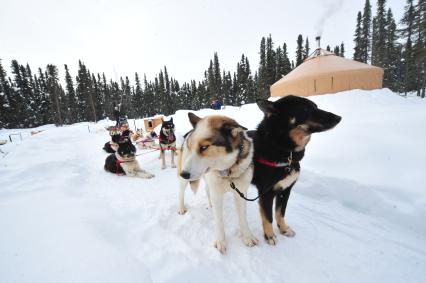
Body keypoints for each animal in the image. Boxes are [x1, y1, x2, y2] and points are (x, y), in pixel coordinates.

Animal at [178, 113, 258, 255]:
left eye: (204, 147)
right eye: (191, 147)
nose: (184, 173)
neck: (228, 172)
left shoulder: (241, 193)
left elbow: (243, 218)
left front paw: (247, 236)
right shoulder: (217, 194)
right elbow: (219, 222)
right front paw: (221, 241)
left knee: (207, 189)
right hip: (185, 178)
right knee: (181, 192)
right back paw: (181, 208)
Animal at [251, 96, 342, 246]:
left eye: (316, 106)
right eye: (305, 109)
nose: (338, 117)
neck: (285, 151)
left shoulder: (286, 190)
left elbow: (280, 213)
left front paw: (283, 229)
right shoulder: (266, 193)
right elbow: (268, 217)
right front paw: (269, 236)